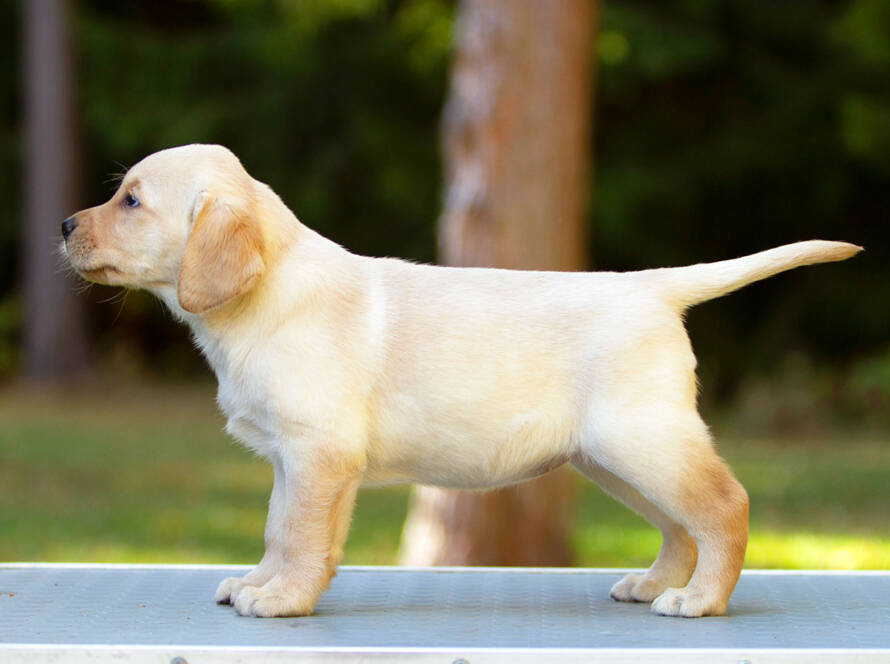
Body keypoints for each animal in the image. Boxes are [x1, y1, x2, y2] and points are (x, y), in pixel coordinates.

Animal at [62, 144, 861, 618]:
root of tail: (652, 287)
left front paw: (284, 600)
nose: (65, 225)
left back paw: (699, 600)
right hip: (613, 458)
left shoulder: (321, 454)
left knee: (723, 506)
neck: (266, 296)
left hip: (644, 441)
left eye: (131, 201)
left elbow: (301, 535)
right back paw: (657, 583)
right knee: (679, 524)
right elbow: (276, 530)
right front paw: (259, 583)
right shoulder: (292, 461)